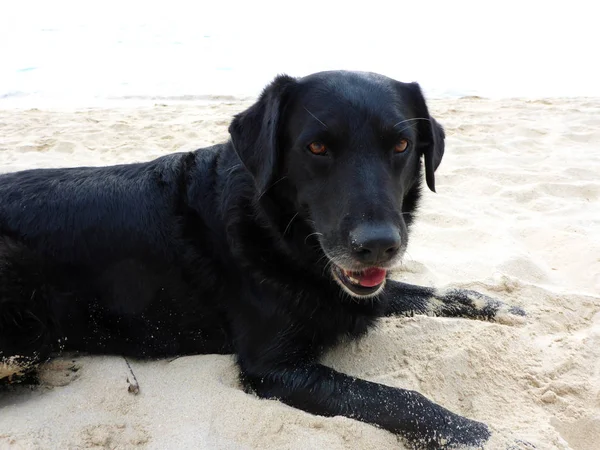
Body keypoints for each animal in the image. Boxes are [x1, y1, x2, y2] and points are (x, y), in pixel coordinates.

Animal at [0, 72, 524, 448]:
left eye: (401, 146)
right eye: (316, 147)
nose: (380, 244)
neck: (278, 232)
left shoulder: (352, 292)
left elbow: (431, 293)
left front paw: (499, 306)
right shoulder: (274, 368)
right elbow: (402, 400)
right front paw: (496, 438)